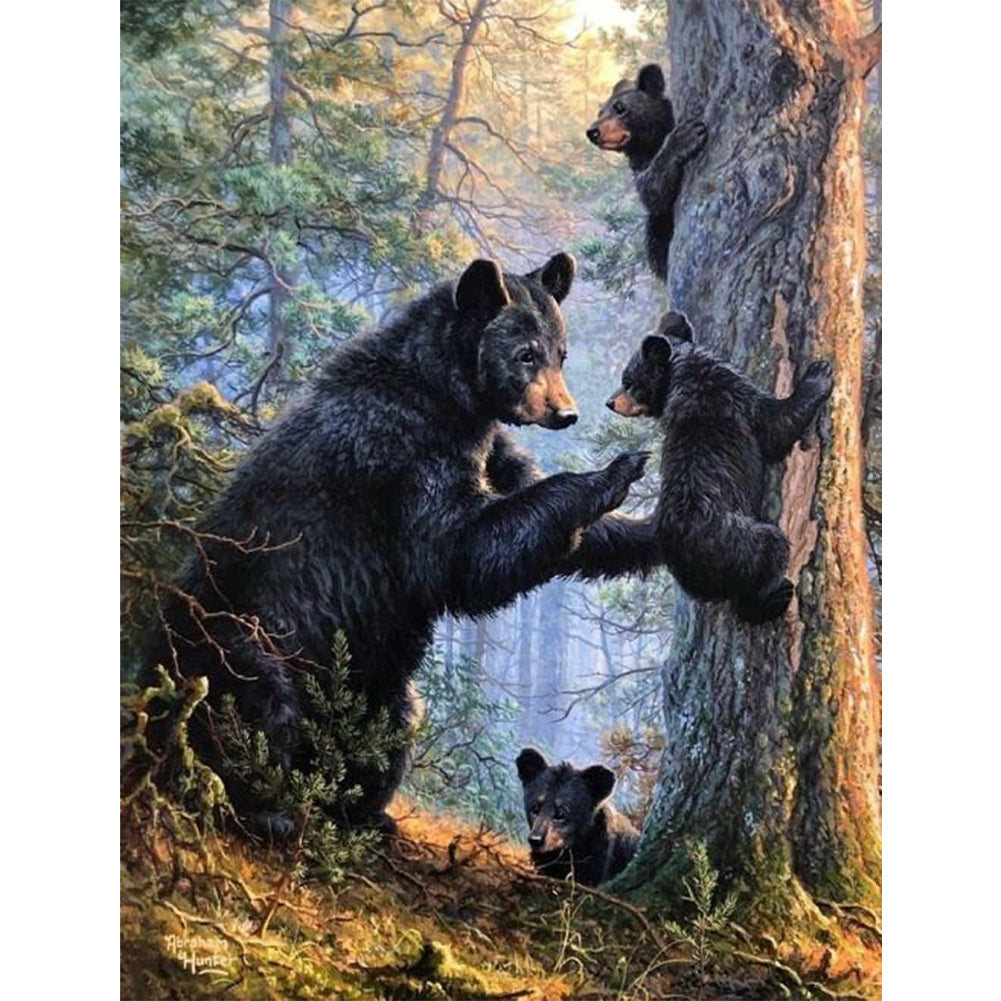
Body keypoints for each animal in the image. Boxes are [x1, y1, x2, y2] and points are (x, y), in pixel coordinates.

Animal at [144, 252, 664, 839]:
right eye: (525, 354)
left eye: (561, 352)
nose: (566, 412)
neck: (446, 393)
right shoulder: (403, 451)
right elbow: (458, 552)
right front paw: (614, 471)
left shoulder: (487, 445)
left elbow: (542, 513)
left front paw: (655, 528)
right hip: (240, 637)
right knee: (256, 708)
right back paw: (266, 806)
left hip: (374, 678)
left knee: (392, 725)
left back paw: (362, 810)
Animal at [587, 63, 707, 282]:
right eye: (600, 113)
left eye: (620, 108)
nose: (592, 132)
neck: (649, 143)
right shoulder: (641, 167)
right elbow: (653, 192)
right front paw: (685, 138)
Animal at [605, 311, 835, 624]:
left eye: (627, 381)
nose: (610, 402)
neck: (687, 370)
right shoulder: (737, 402)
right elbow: (776, 426)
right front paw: (819, 373)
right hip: (737, 542)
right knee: (766, 556)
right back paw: (775, 597)